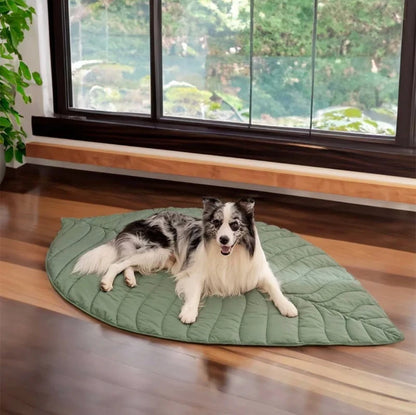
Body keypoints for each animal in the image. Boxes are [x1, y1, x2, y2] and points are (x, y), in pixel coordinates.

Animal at [73, 198, 298, 324]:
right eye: (217, 223)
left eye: (234, 225)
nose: (223, 240)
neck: (231, 255)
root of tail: (146, 218)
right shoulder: (195, 272)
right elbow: (195, 293)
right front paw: (189, 312)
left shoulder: (260, 271)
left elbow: (275, 289)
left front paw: (287, 306)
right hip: (158, 251)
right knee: (119, 262)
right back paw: (106, 282)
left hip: (159, 257)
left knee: (129, 264)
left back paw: (130, 280)